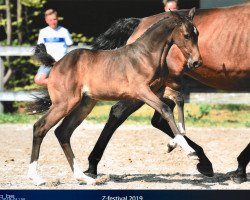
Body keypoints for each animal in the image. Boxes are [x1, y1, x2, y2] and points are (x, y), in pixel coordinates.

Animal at [28, 8, 202, 185]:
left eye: (197, 34)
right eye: (186, 35)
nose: (196, 62)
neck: (146, 55)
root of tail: (56, 63)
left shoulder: (158, 90)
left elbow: (179, 98)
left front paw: (174, 142)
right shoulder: (141, 91)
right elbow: (165, 109)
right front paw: (189, 150)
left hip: (84, 104)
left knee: (62, 132)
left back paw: (84, 177)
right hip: (65, 102)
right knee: (40, 127)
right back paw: (36, 177)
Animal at [85, 3, 249, 184]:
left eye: (197, 34)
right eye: (186, 35)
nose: (196, 62)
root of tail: (139, 21)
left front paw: (240, 169)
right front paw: (240, 170)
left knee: (158, 117)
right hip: (145, 88)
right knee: (119, 112)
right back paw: (91, 167)